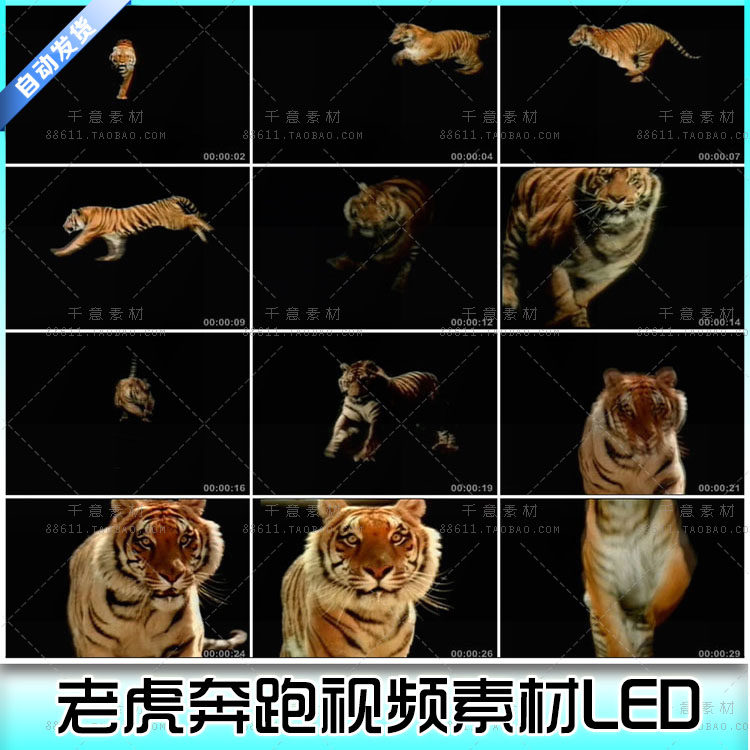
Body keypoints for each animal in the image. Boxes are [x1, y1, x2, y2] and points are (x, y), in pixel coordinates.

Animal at [51, 196, 213, 261]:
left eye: (68, 219)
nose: (63, 226)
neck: (87, 217)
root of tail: (170, 198)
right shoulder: (115, 237)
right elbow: (116, 249)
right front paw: (109, 259)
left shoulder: (87, 234)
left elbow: (74, 243)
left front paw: (58, 252)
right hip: (177, 221)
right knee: (193, 224)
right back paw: (204, 238)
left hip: (174, 221)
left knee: (193, 218)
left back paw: (209, 228)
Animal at [67, 499, 247, 657]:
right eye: (146, 541)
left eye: (184, 539)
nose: (172, 576)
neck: (143, 615)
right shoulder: (95, 646)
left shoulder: (188, 641)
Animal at [324, 359, 458, 462]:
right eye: (348, 382)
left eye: (364, 381)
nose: (355, 396)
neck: (361, 403)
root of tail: (432, 375)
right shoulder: (349, 416)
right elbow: (339, 429)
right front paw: (331, 449)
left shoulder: (379, 418)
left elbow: (372, 439)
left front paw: (364, 456)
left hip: (435, 411)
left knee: (444, 430)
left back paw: (446, 448)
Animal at [502, 167, 661, 327]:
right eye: (605, 177)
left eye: (634, 180)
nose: (617, 198)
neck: (612, 234)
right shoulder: (554, 257)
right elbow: (563, 295)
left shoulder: (608, 274)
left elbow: (583, 297)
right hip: (516, 228)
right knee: (508, 264)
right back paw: (508, 299)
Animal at [568, 23, 700, 83]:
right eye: (574, 32)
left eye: (577, 33)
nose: (568, 39)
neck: (594, 43)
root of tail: (661, 30)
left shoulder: (625, 58)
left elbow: (631, 66)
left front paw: (634, 74)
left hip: (645, 51)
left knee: (646, 65)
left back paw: (632, 76)